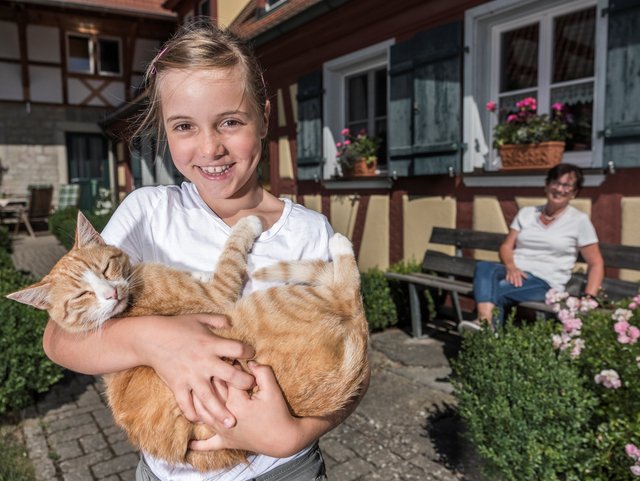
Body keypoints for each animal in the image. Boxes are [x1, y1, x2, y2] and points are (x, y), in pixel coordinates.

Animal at [7, 212, 370, 470]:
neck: (128, 304)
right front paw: (249, 222)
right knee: (347, 292)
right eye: (81, 295)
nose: (110, 293)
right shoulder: (218, 294)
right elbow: (232, 251)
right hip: (277, 303)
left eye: (106, 267)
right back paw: (340, 245)